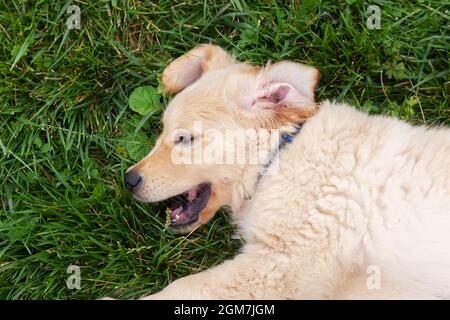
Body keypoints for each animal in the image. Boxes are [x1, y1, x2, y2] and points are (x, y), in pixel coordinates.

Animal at [123, 43, 450, 298]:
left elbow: (184, 287)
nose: (129, 179)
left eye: (184, 139)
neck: (277, 157)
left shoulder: (277, 265)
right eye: (162, 131)